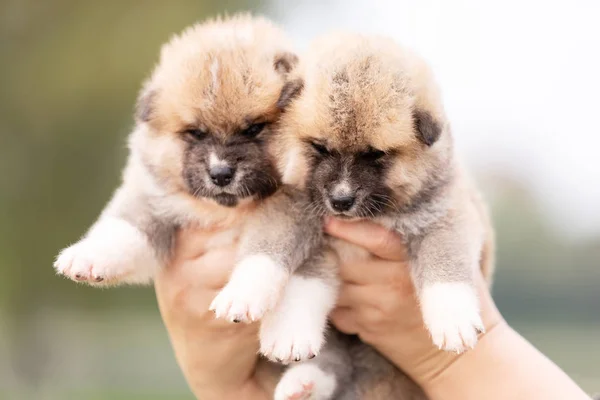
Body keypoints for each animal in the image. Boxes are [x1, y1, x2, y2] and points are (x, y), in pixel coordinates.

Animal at [274, 32, 494, 400]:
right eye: (320, 147)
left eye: (376, 154)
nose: (340, 200)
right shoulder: (321, 240)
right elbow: (303, 286)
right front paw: (290, 334)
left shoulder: (446, 217)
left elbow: (445, 265)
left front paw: (453, 320)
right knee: (335, 360)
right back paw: (301, 383)